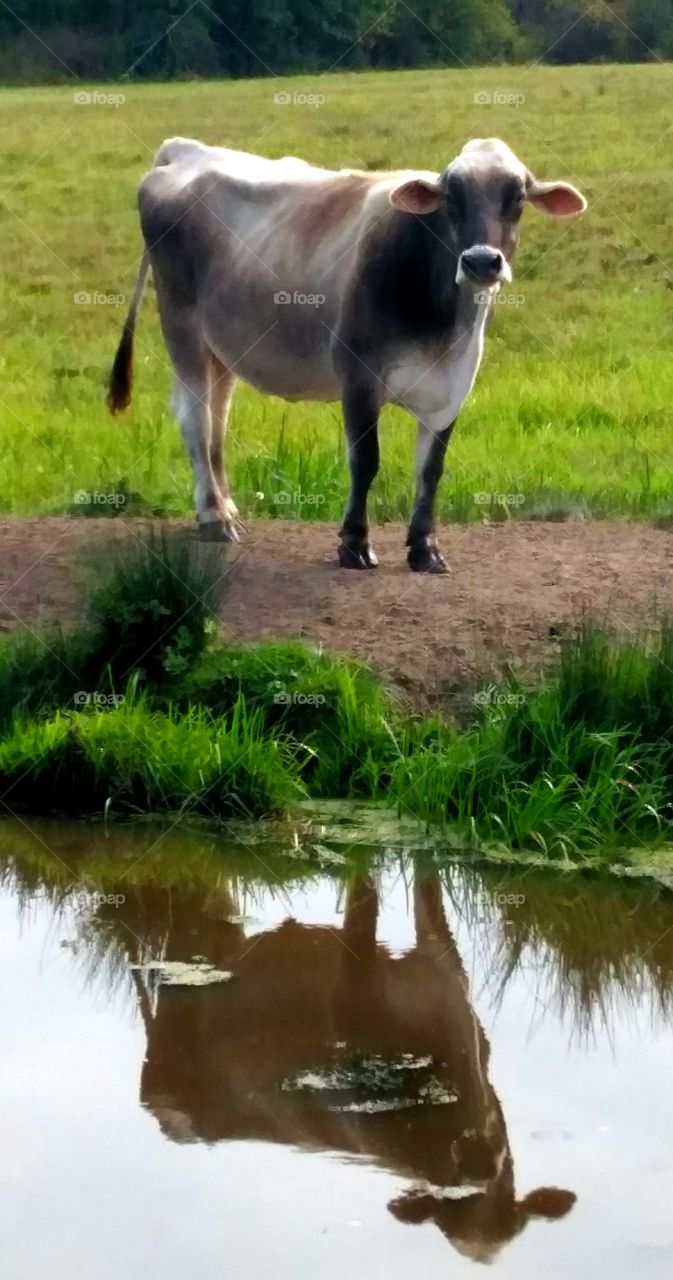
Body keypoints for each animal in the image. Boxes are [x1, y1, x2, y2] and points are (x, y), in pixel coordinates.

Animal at [108, 135, 588, 570]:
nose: (481, 261)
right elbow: (365, 461)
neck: (442, 325)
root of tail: (186, 148)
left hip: (223, 347)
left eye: (518, 198)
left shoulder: (452, 388)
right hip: (182, 324)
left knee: (216, 423)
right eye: (451, 197)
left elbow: (430, 470)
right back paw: (212, 517)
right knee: (195, 417)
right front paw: (354, 544)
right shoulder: (357, 377)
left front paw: (425, 549)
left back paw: (226, 507)